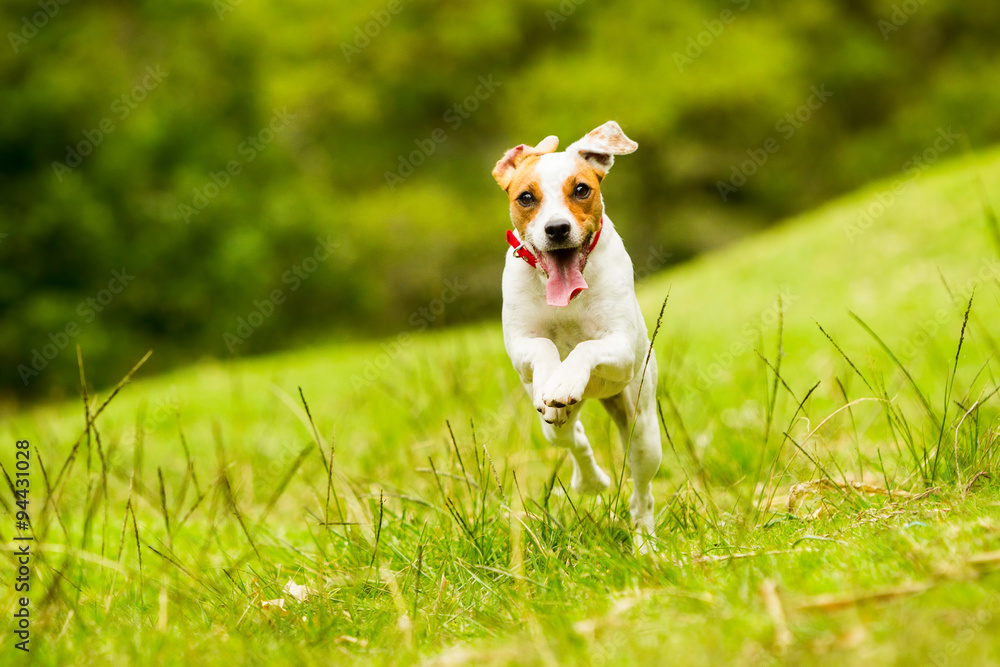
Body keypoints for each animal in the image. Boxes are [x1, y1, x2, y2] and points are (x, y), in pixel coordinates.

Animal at [492, 122, 664, 552]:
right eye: (526, 197)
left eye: (582, 189)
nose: (557, 229)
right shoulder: (519, 346)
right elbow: (543, 346)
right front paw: (554, 379)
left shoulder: (621, 347)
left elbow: (586, 346)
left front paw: (566, 378)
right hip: (553, 428)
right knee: (573, 438)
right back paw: (590, 479)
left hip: (642, 428)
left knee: (642, 494)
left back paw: (645, 543)